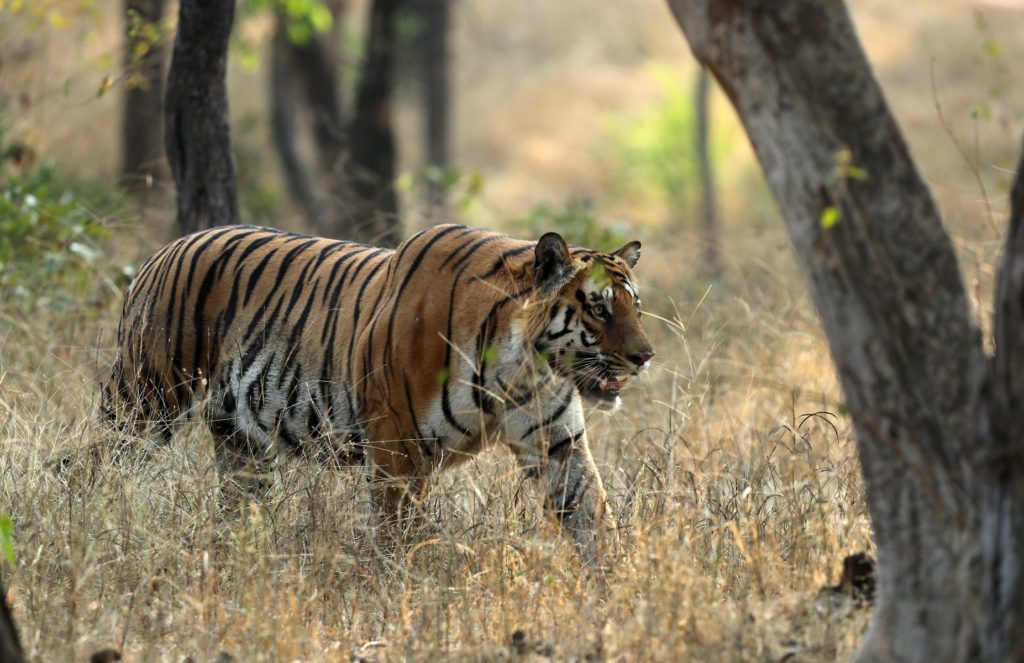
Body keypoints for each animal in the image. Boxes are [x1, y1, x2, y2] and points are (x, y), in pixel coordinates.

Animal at [99, 225, 651, 561]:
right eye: (598, 307)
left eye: (635, 306)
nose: (645, 356)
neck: (521, 368)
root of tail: (163, 250)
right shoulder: (396, 447)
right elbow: (401, 538)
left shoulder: (557, 442)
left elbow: (592, 515)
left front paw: (617, 590)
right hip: (146, 403)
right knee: (97, 467)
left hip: (242, 445)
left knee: (236, 507)